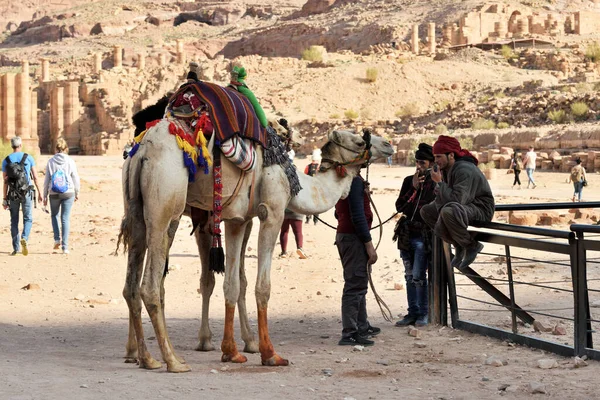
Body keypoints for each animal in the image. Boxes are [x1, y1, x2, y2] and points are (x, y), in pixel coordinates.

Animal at [119, 119, 396, 372]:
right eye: (359, 141)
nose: (388, 145)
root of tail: (141, 150)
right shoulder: (271, 212)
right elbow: (262, 287)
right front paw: (269, 353)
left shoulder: (236, 220)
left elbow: (232, 284)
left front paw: (232, 351)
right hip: (166, 201)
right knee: (151, 286)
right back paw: (172, 360)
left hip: (137, 209)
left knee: (132, 284)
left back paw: (143, 356)